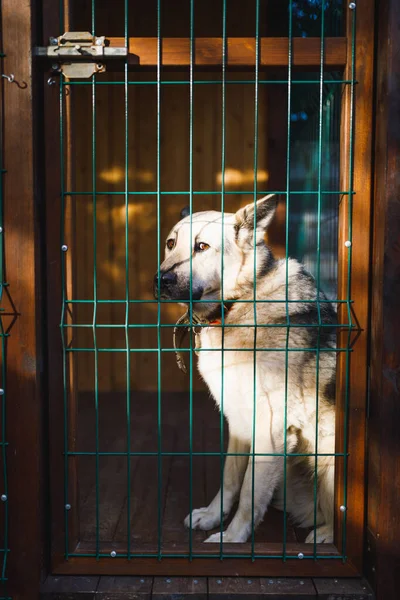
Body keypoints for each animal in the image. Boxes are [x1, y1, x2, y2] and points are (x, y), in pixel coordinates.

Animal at [155, 196, 336, 544]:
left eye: (201, 246)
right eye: (171, 244)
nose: (160, 280)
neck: (238, 303)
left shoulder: (271, 430)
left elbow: (251, 494)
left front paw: (231, 538)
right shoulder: (239, 421)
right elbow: (230, 478)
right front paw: (212, 517)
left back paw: (325, 535)